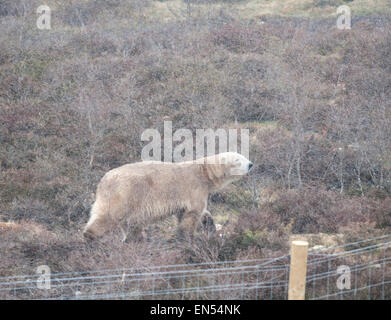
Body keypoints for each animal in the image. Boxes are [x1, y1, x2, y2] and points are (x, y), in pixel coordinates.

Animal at [83, 152, 254, 240]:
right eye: (238, 159)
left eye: (243, 156)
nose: (251, 164)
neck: (204, 172)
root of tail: (103, 182)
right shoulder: (194, 186)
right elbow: (192, 213)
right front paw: (186, 237)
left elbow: (192, 212)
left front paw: (209, 224)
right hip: (125, 193)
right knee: (108, 217)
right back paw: (90, 237)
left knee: (130, 224)